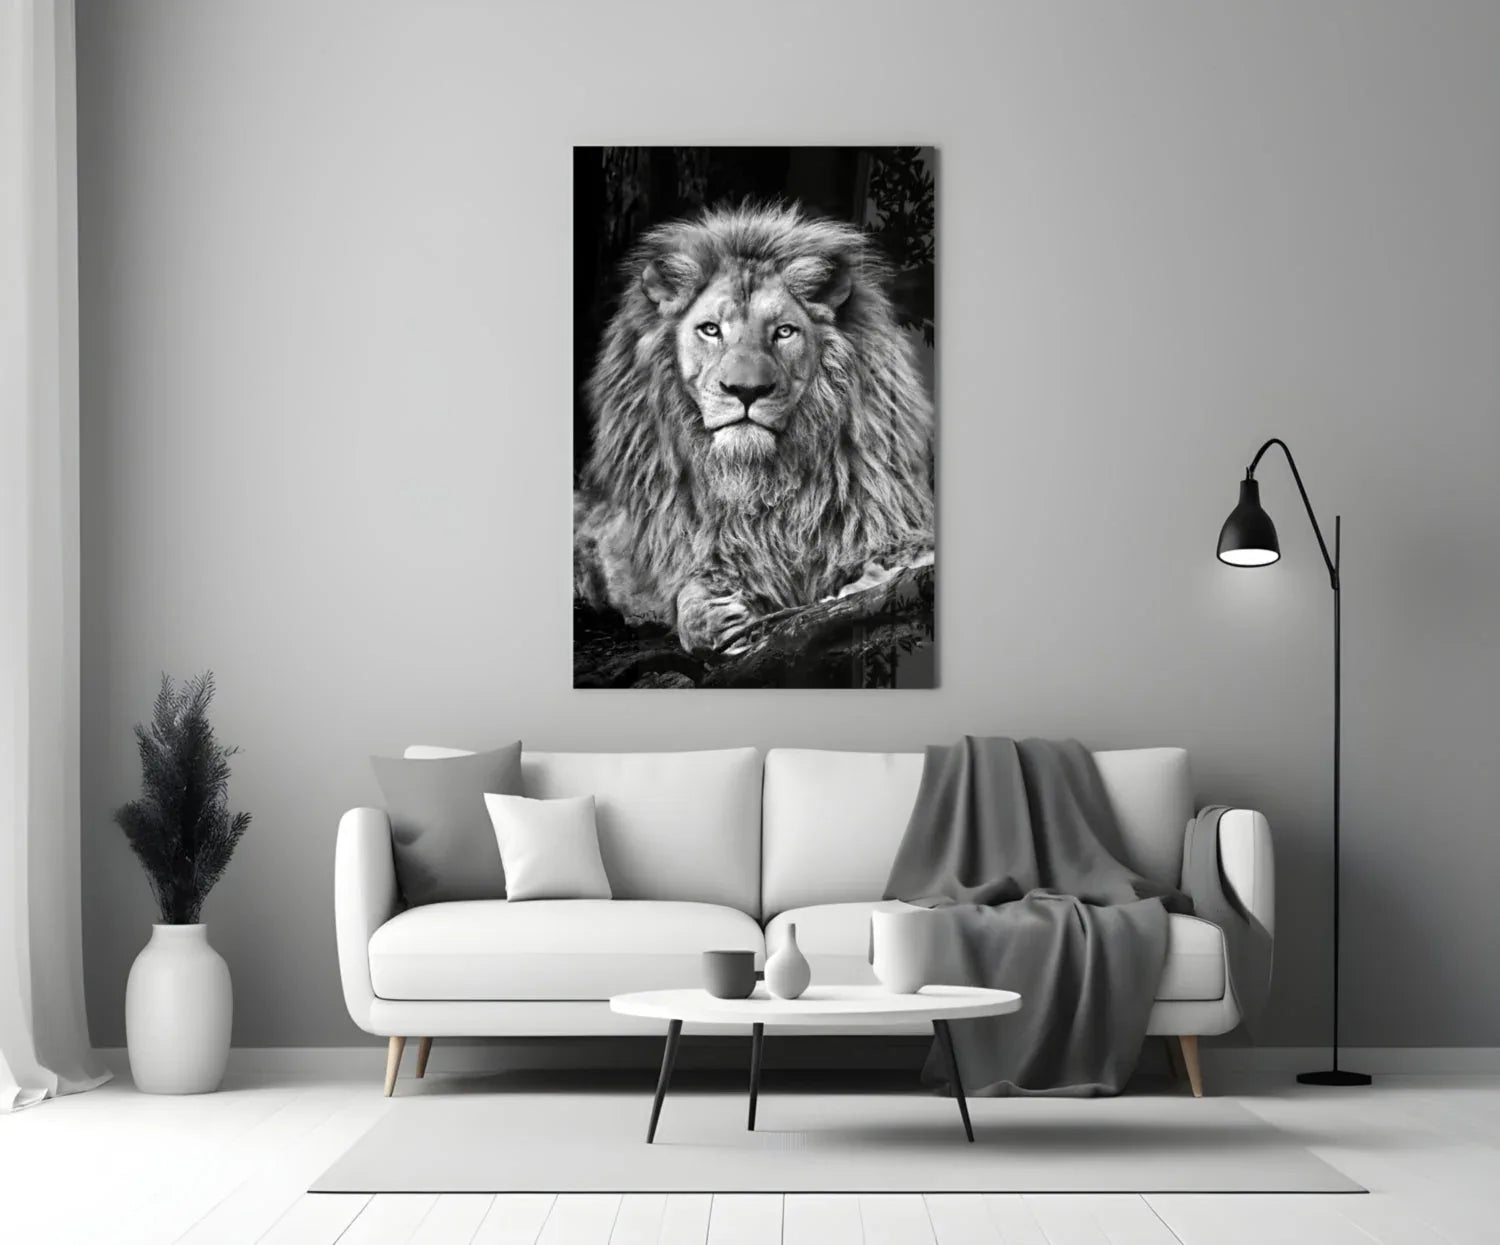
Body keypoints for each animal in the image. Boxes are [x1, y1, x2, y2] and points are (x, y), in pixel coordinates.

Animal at [574, 202, 934, 658]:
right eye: (711, 329)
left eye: (784, 332)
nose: (746, 390)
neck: (759, 483)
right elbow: (689, 599)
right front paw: (716, 617)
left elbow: (904, 561)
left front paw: (863, 582)